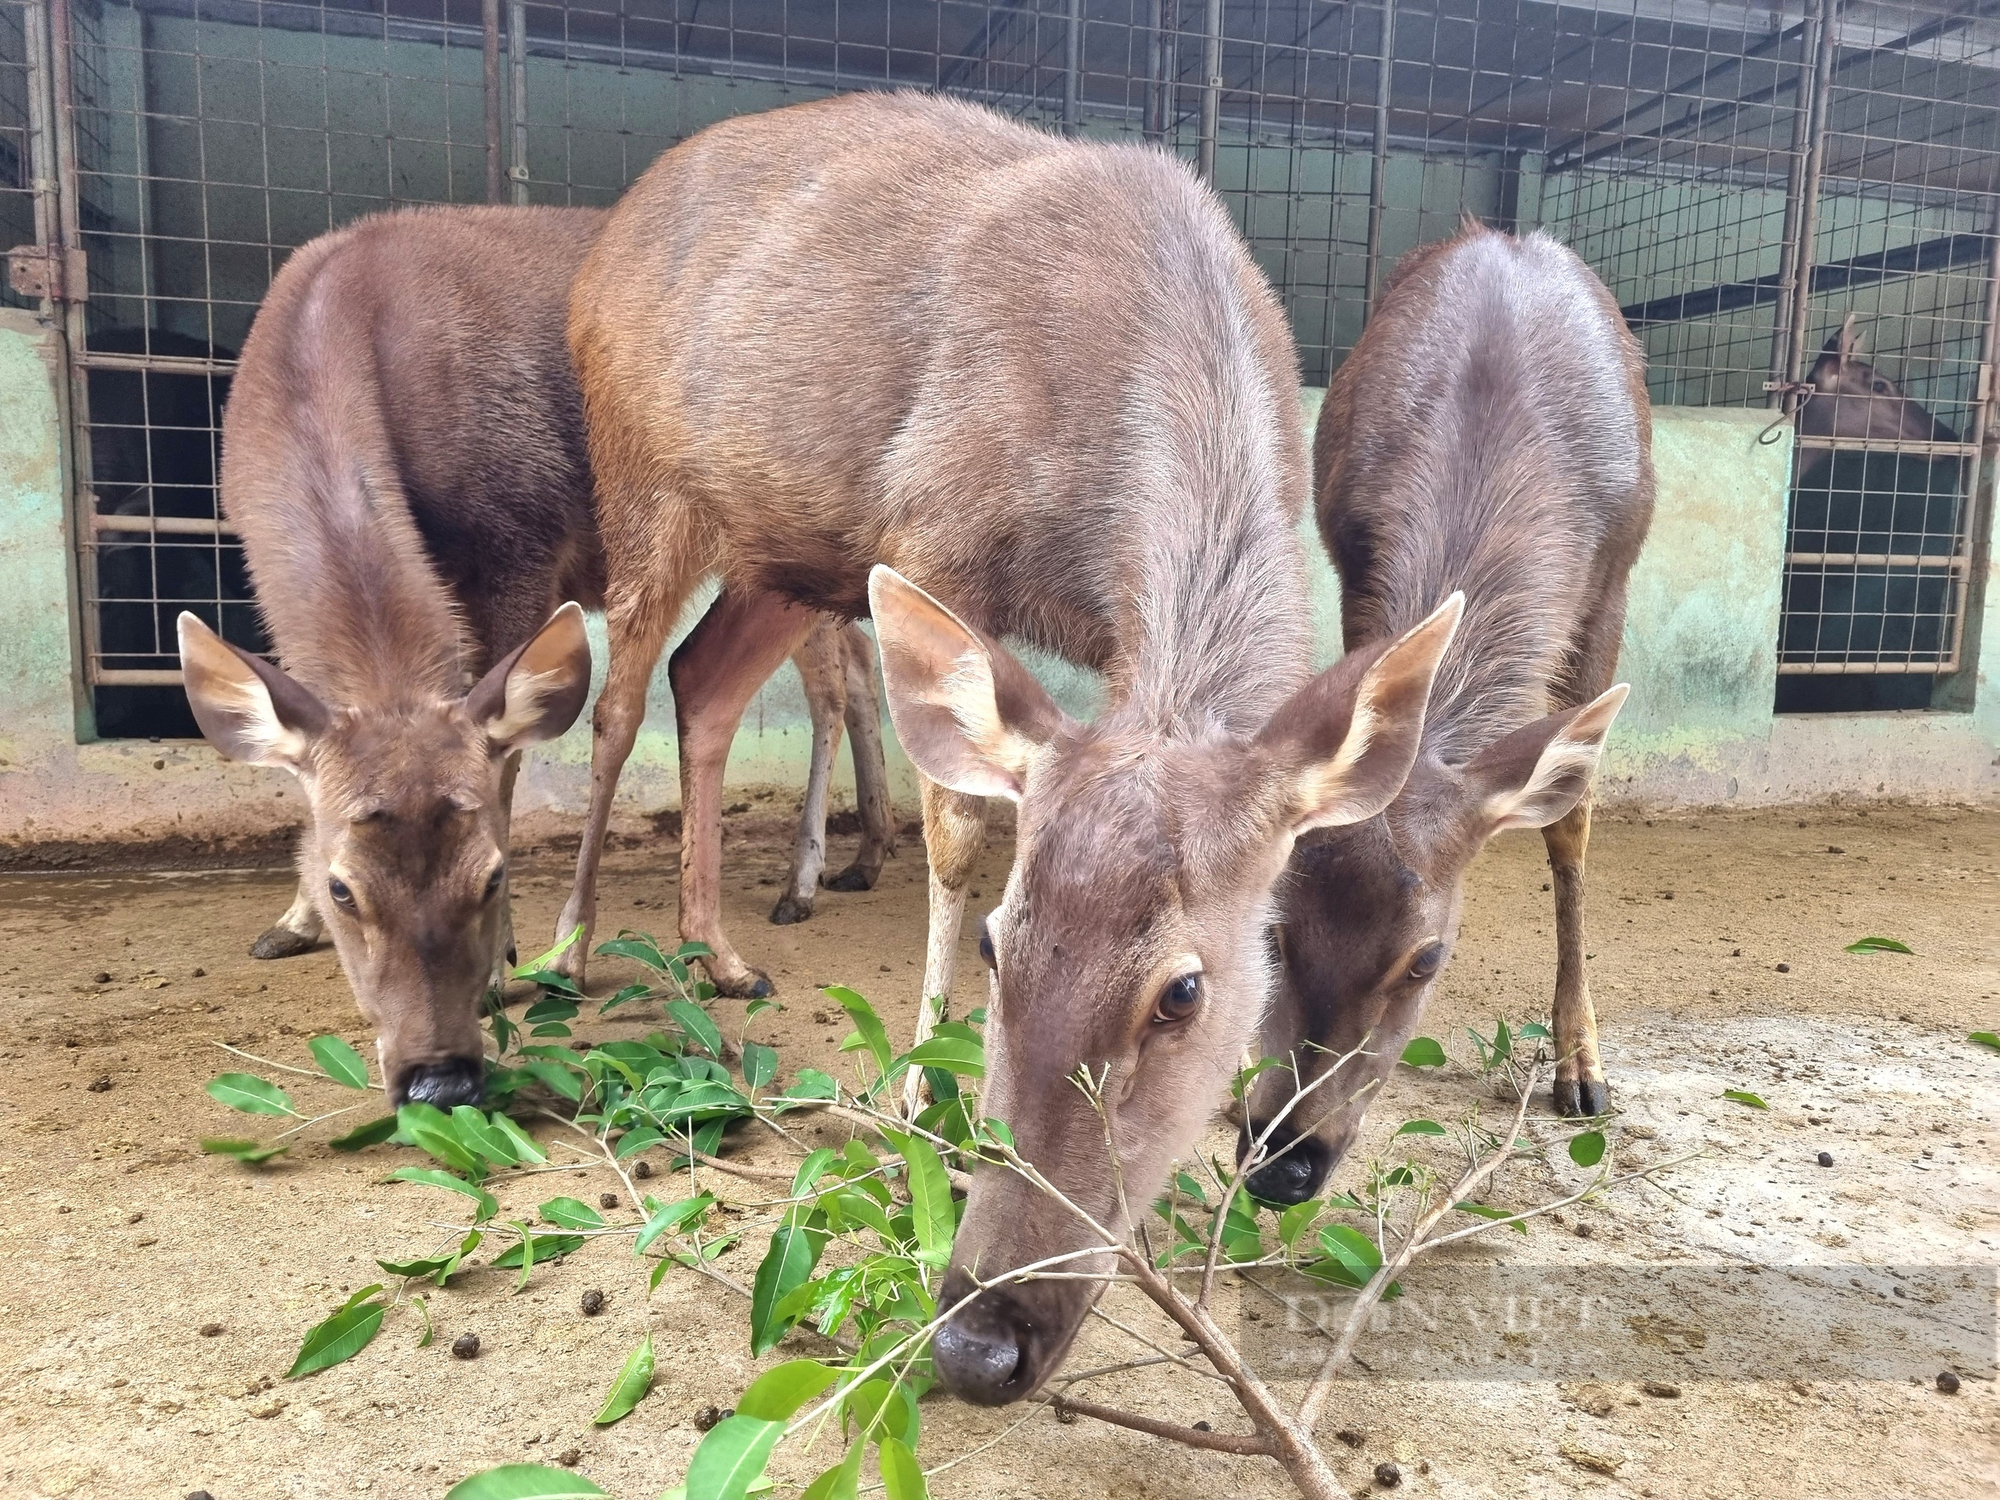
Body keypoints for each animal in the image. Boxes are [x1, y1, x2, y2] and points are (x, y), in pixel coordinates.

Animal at [180, 206, 900, 1112]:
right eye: (344, 888)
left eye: (490, 874)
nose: (437, 1078)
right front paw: (291, 921)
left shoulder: (518, 543)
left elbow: (511, 759)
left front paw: (507, 962)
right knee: (850, 667)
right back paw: (856, 860)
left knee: (822, 682)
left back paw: (792, 889)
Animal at [556, 94, 1464, 1408]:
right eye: (997, 947)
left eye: (1183, 989)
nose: (977, 1343)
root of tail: (593, 254)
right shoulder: (931, 529)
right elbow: (957, 826)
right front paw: (916, 1090)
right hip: (646, 484)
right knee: (620, 697)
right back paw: (569, 949)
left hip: (791, 546)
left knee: (704, 685)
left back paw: (719, 954)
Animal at [1232, 226, 1656, 1208]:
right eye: (1272, 927)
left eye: (1426, 959)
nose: (1283, 1162)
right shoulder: (1350, 558)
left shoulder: (1610, 583)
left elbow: (1571, 822)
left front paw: (1582, 1064)